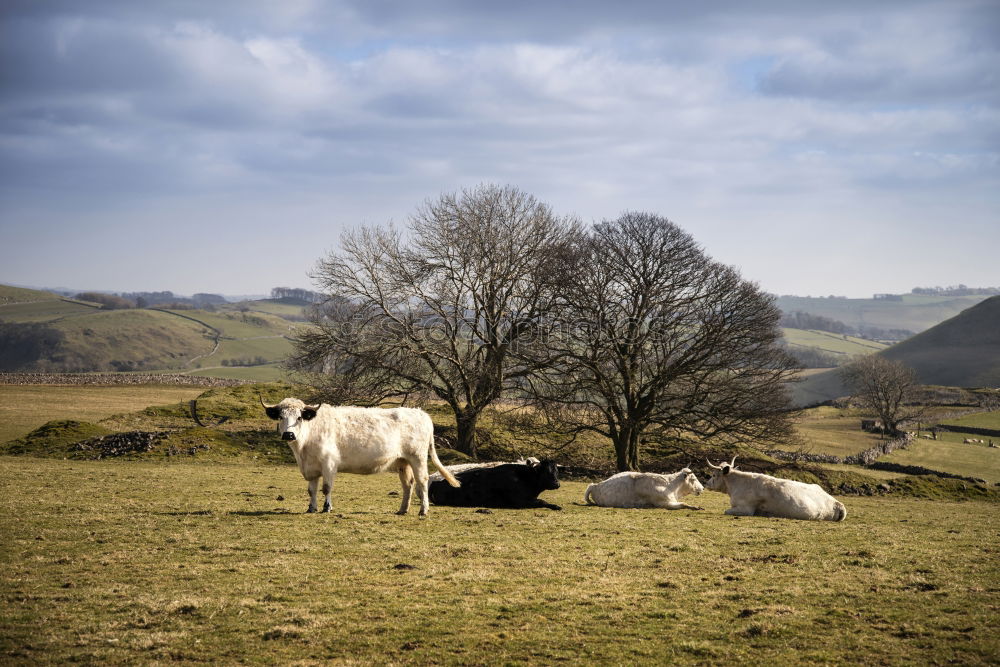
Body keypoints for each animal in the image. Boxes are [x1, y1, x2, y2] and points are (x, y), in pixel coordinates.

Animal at [260, 396, 458, 516]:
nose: (289, 435)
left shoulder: (329, 464)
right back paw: (402, 510)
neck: (303, 449)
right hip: (403, 461)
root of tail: (420, 412)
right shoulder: (312, 468)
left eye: (299, 417)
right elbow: (312, 490)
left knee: (422, 481)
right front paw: (311, 508)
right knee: (407, 484)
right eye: (281, 417)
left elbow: (326, 488)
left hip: (417, 458)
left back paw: (423, 510)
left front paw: (327, 508)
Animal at [428, 460, 564, 512]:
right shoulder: (520, 502)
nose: (557, 484)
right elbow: (542, 501)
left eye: (557, 471)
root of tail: (437, 482)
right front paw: (556, 506)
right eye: (546, 472)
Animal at [700, 460, 848, 520]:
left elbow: (726, 511)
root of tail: (837, 504)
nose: (706, 483)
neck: (739, 483)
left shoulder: (745, 509)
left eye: (714, 475)